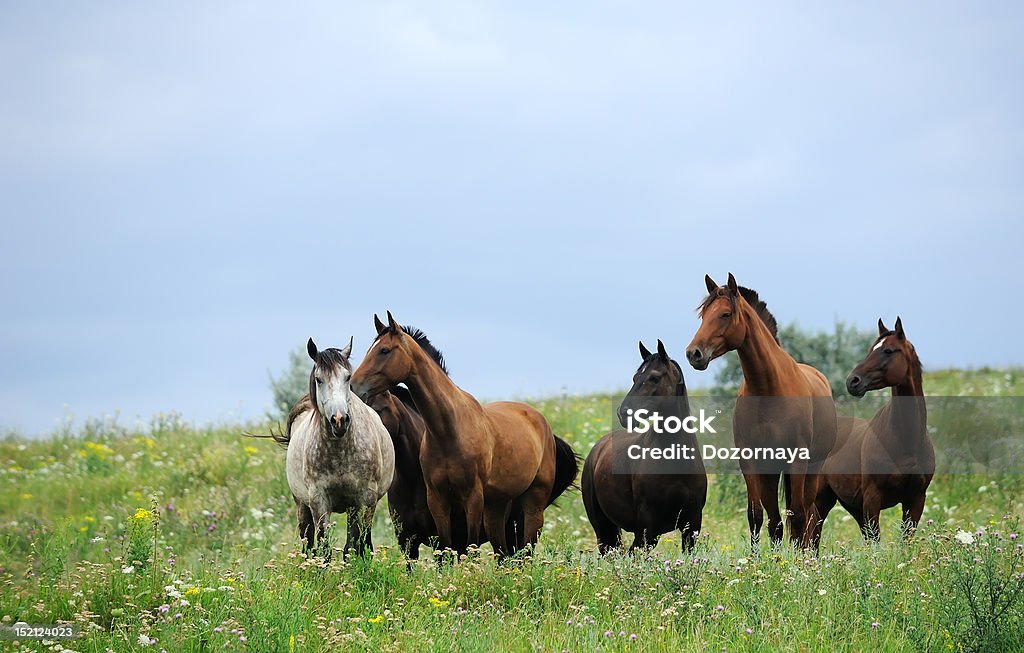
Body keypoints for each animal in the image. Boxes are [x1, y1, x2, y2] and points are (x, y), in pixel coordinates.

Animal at [282, 337, 397, 556]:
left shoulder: (365, 498)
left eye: (347, 377)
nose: (339, 420)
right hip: (302, 505)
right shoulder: (318, 500)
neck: (339, 453)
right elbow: (324, 547)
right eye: (319, 379)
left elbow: (357, 545)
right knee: (308, 543)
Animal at [350, 311, 577, 556]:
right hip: (496, 509)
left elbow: (469, 545)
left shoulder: (473, 498)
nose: (353, 386)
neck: (448, 432)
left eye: (384, 350)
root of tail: (543, 424)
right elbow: (446, 547)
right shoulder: (437, 500)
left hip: (532, 506)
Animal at [581, 339, 708, 556]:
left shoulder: (691, 524)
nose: (624, 413)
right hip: (602, 526)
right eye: (635, 377)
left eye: (654, 378)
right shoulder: (647, 526)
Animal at [684, 276, 835, 552]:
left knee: (809, 513)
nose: (694, 353)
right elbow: (757, 516)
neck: (768, 389)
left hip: (813, 467)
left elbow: (798, 515)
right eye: (703, 316)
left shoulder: (797, 459)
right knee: (779, 519)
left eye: (725, 314)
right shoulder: (752, 460)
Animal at [811, 317, 933, 540]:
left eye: (888, 351)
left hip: (849, 505)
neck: (907, 441)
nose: (853, 381)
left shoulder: (916, 499)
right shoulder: (872, 499)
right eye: (870, 350)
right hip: (820, 500)